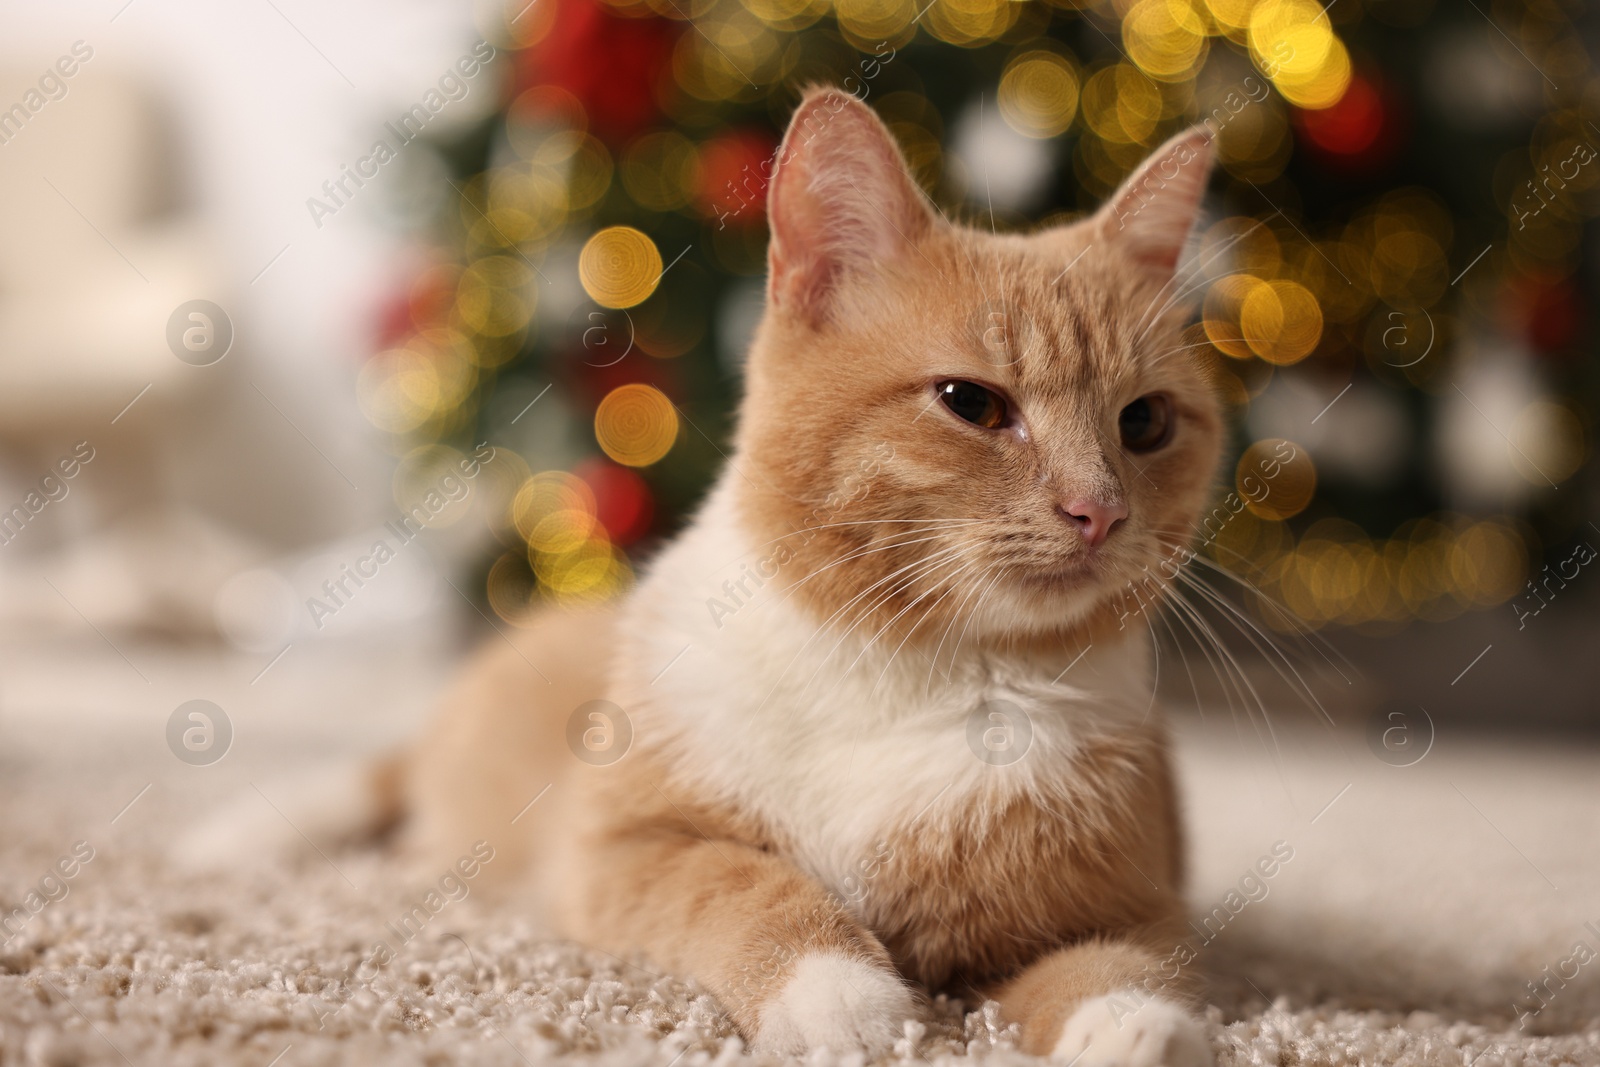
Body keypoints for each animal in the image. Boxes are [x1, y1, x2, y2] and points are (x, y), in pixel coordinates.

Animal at [406, 87, 1216, 1062]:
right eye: (972, 404)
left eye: (1145, 422)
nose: (1099, 509)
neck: (920, 668)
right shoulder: (619, 851)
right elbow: (745, 885)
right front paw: (841, 990)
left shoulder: (1140, 901)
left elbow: (1125, 960)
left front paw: (1135, 1024)